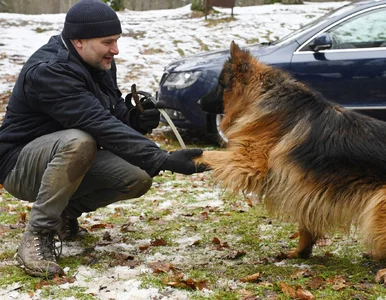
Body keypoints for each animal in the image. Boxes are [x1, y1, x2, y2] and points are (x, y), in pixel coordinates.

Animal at [193, 41, 386, 282]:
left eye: (221, 85)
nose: (198, 101)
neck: (262, 94)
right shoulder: (306, 189)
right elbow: (306, 224)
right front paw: (301, 253)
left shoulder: (248, 162)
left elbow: (205, 154)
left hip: (378, 206)